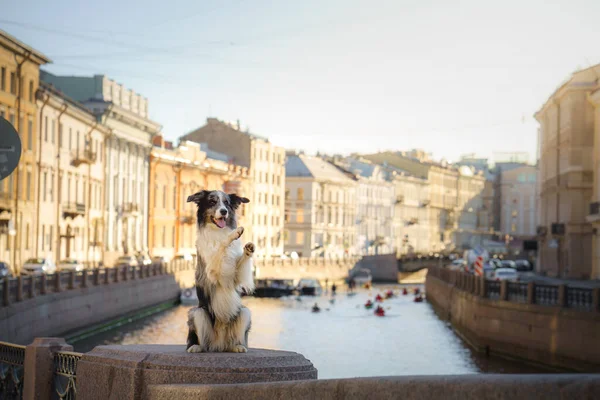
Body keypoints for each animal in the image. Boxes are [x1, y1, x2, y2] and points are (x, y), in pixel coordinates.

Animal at [186, 189, 254, 352]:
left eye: (227, 203)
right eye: (212, 202)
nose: (224, 211)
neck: (216, 232)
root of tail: (219, 345)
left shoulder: (235, 277)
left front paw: (248, 249)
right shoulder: (211, 271)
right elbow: (222, 244)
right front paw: (233, 234)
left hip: (244, 312)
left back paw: (237, 346)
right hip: (197, 312)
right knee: (204, 343)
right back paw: (196, 347)